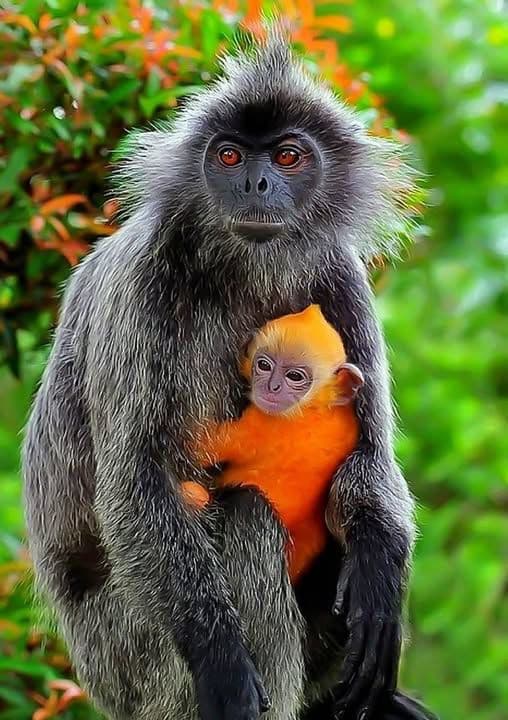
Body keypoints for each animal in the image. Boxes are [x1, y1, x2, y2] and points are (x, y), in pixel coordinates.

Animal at [181, 304, 364, 582]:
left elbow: (198, 447)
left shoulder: (262, 424)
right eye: (264, 365)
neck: (315, 407)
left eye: (295, 376)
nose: (272, 387)